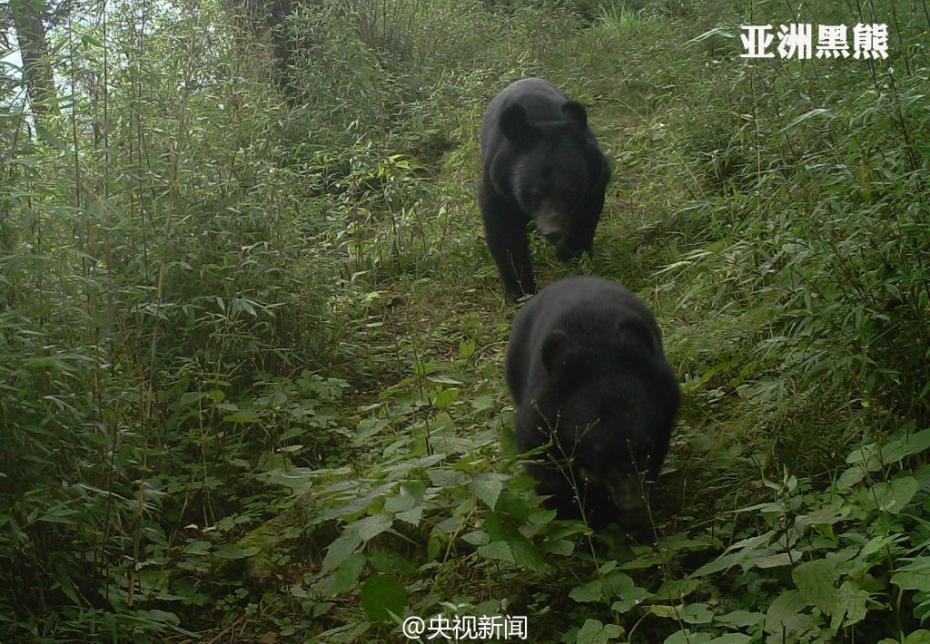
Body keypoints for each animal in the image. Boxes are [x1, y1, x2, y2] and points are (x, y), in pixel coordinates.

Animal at [478, 78, 608, 302]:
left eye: (570, 193)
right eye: (534, 194)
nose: (552, 232)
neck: (543, 119)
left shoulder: (594, 175)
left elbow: (586, 216)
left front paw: (570, 255)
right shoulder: (498, 185)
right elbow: (504, 233)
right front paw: (520, 292)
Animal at [504, 276, 676, 528]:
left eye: (644, 447)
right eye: (600, 455)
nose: (632, 500)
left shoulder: (664, 399)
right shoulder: (544, 406)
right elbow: (543, 459)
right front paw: (586, 513)